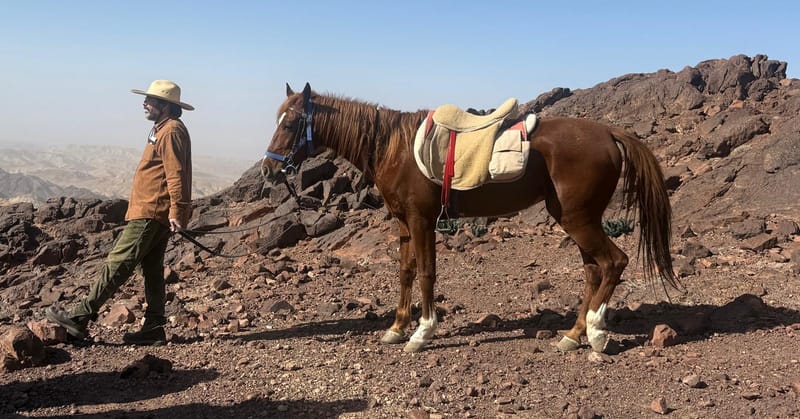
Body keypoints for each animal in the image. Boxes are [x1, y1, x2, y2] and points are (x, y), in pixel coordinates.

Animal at [262, 82, 678, 353]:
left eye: (290, 123)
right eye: (277, 119)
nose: (269, 169)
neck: (394, 147)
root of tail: (608, 132)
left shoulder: (422, 220)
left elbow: (427, 273)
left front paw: (422, 333)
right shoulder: (403, 223)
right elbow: (406, 272)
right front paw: (397, 328)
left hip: (579, 219)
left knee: (614, 262)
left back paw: (595, 332)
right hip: (576, 218)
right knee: (594, 270)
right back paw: (573, 335)